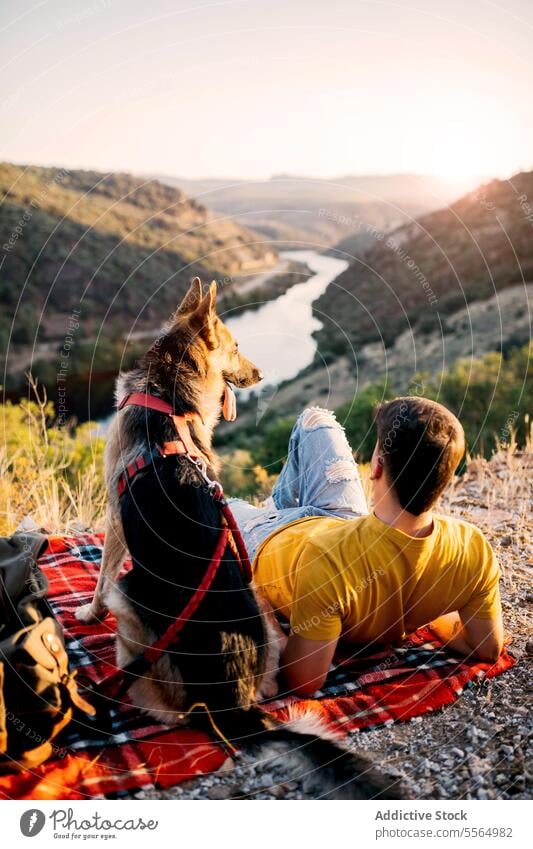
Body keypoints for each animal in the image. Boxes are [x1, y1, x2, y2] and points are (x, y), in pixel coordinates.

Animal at [77, 276, 406, 796]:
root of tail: (232, 699)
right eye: (235, 348)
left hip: (130, 608)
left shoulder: (112, 518)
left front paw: (86, 614)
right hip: (261, 604)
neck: (168, 393)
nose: (260, 373)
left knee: (161, 703)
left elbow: (101, 576)